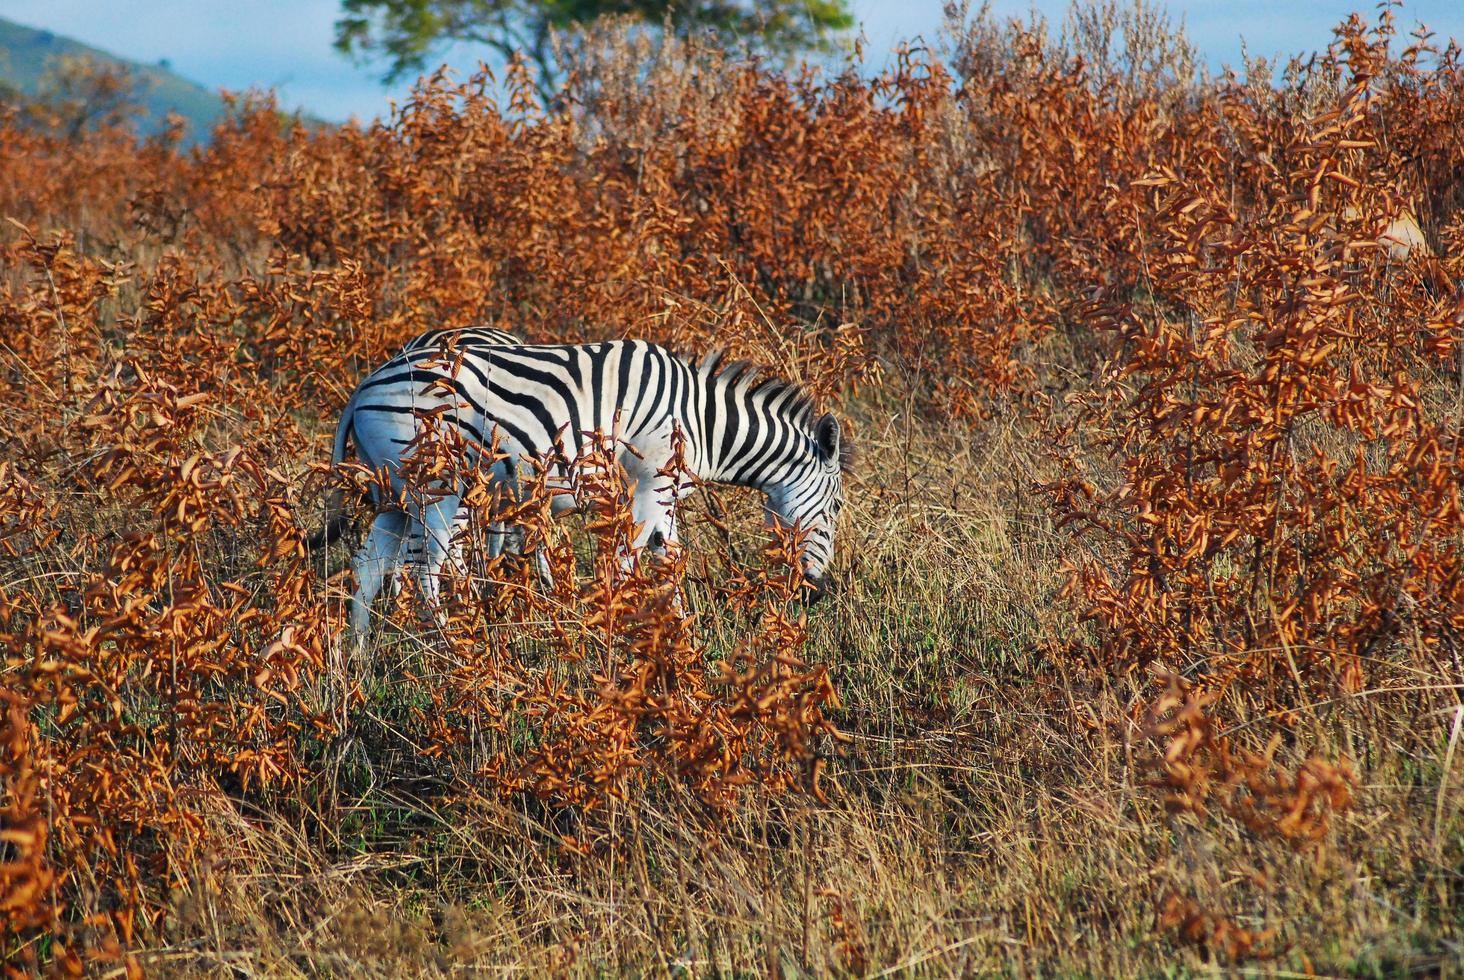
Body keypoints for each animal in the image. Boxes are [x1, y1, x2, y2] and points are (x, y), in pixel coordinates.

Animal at [314, 338, 854, 641]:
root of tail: (361, 388)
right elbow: (626, 563)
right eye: (833, 511)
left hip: (396, 491)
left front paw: (682, 638)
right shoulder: (649, 486)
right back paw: (453, 649)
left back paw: (359, 655)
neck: (701, 423)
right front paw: (620, 634)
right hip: (441, 485)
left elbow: (670, 562)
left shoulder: (664, 497)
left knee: (369, 564)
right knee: (426, 567)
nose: (816, 594)